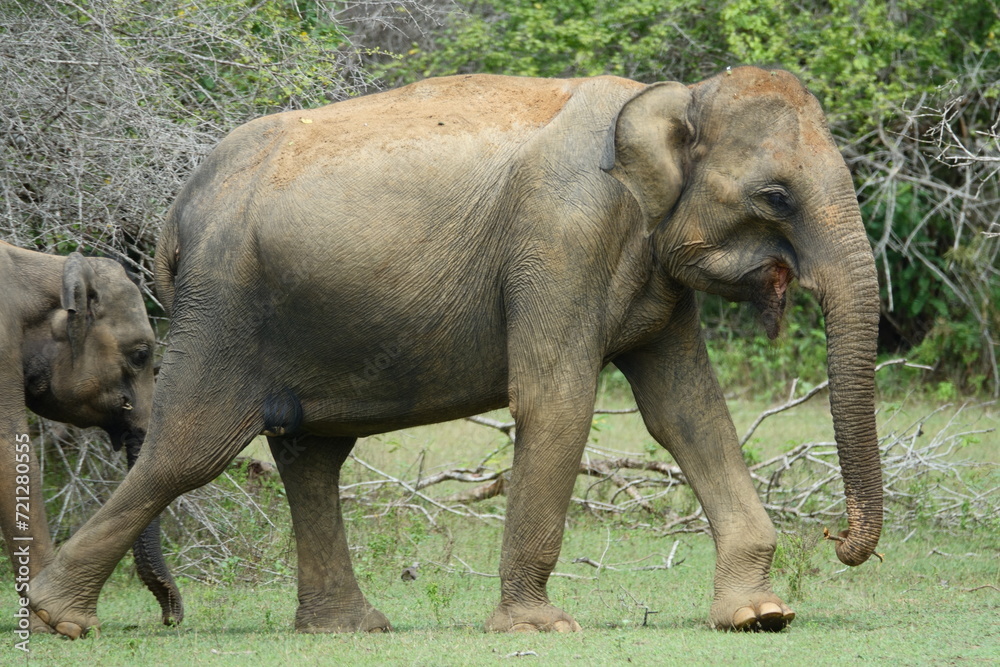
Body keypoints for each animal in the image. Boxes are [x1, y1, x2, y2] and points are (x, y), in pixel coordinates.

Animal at [29, 66, 882, 637]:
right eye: (776, 196)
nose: (838, 541)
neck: (668, 95)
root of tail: (176, 213)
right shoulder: (564, 232)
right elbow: (557, 399)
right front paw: (540, 629)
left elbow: (687, 411)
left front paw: (760, 615)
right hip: (223, 305)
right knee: (189, 451)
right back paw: (58, 617)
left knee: (310, 453)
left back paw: (350, 628)